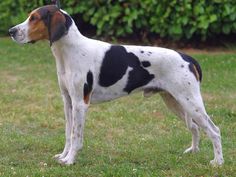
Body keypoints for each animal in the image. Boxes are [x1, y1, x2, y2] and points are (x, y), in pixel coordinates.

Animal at [8, 3, 224, 166]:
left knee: (214, 131)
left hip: (190, 103)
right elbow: (68, 134)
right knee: (195, 128)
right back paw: (193, 151)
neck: (69, 52)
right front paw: (63, 156)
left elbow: (76, 136)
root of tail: (188, 58)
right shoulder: (67, 101)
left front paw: (70, 160)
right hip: (175, 102)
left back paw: (218, 162)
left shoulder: (80, 103)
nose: (10, 31)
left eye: (34, 18)